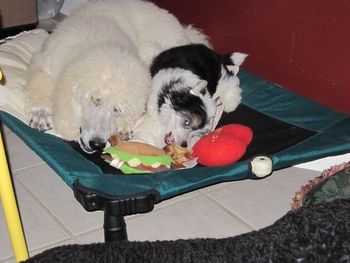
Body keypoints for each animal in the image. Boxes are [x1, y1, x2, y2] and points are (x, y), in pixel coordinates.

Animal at [27, 0, 209, 154]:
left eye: (117, 110)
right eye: (95, 100)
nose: (97, 144)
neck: (97, 45)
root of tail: (183, 30)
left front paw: (124, 126)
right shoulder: (43, 65)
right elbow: (40, 86)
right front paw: (41, 113)